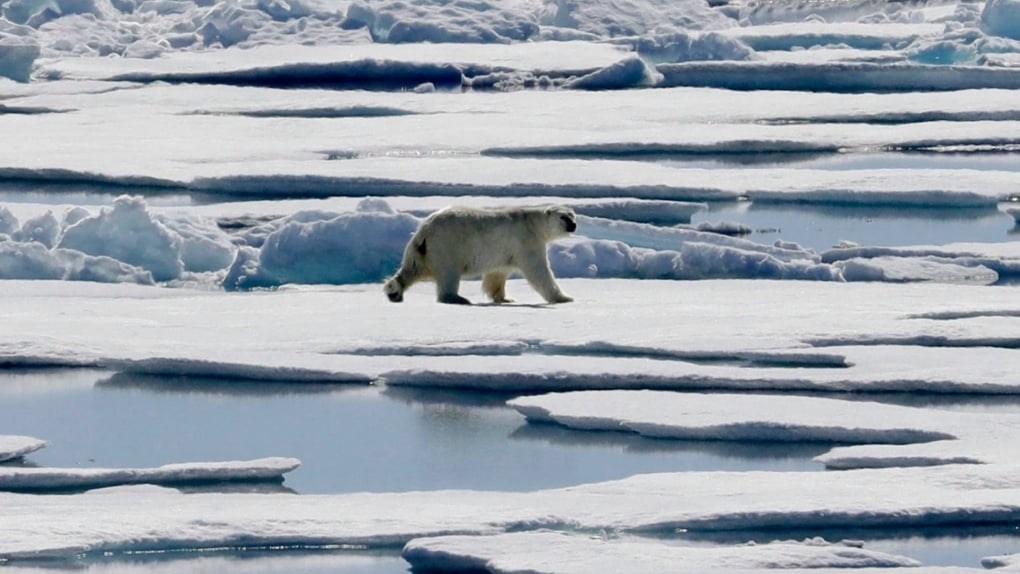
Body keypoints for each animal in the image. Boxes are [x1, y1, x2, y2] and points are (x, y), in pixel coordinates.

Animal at [383, 205, 579, 305]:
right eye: (563, 217)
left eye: (573, 215)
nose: (574, 225)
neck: (533, 223)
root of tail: (425, 230)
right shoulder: (526, 240)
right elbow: (539, 270)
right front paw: (564, 297)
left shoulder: (505, 252)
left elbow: (498, 274)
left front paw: (505, 298)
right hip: (448, 245)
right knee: (448, 273)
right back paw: (457, 298)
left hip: (421, 250)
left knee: (412, 268)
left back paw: (394, 292)